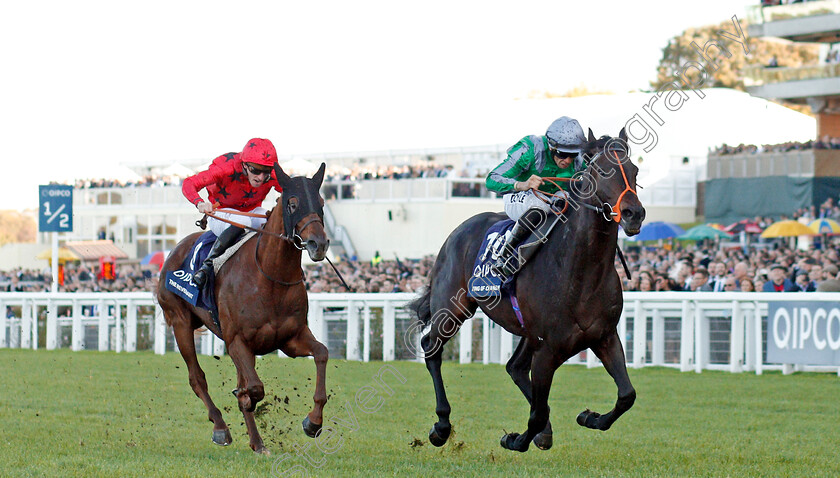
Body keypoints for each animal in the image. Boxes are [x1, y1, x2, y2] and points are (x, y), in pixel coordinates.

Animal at [156, 162, 330, 454]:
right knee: (197, 378)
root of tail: (175, 249)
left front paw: (313, 422)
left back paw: (258, 443)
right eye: (293, 203)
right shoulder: (236, 340)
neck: (270, 277)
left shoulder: (291, 338)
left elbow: (322, 354)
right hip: (180, 322)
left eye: (321, 203)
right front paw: (246, 400)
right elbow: (255, 387)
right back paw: (220, 428)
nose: (319, 244)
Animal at [410, 130, 648, 452]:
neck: (581, 272)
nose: (634, 213)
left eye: (634, 171)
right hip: (453, 308)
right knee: (431, 347)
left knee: (515, 368)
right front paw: (514, 439)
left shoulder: (604, 336)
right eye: (601, 171)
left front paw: (590, 417)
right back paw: (441, 426)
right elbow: (536, 413)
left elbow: (626, 395)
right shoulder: (547, 348)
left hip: (527, 332)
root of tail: (457, 231)